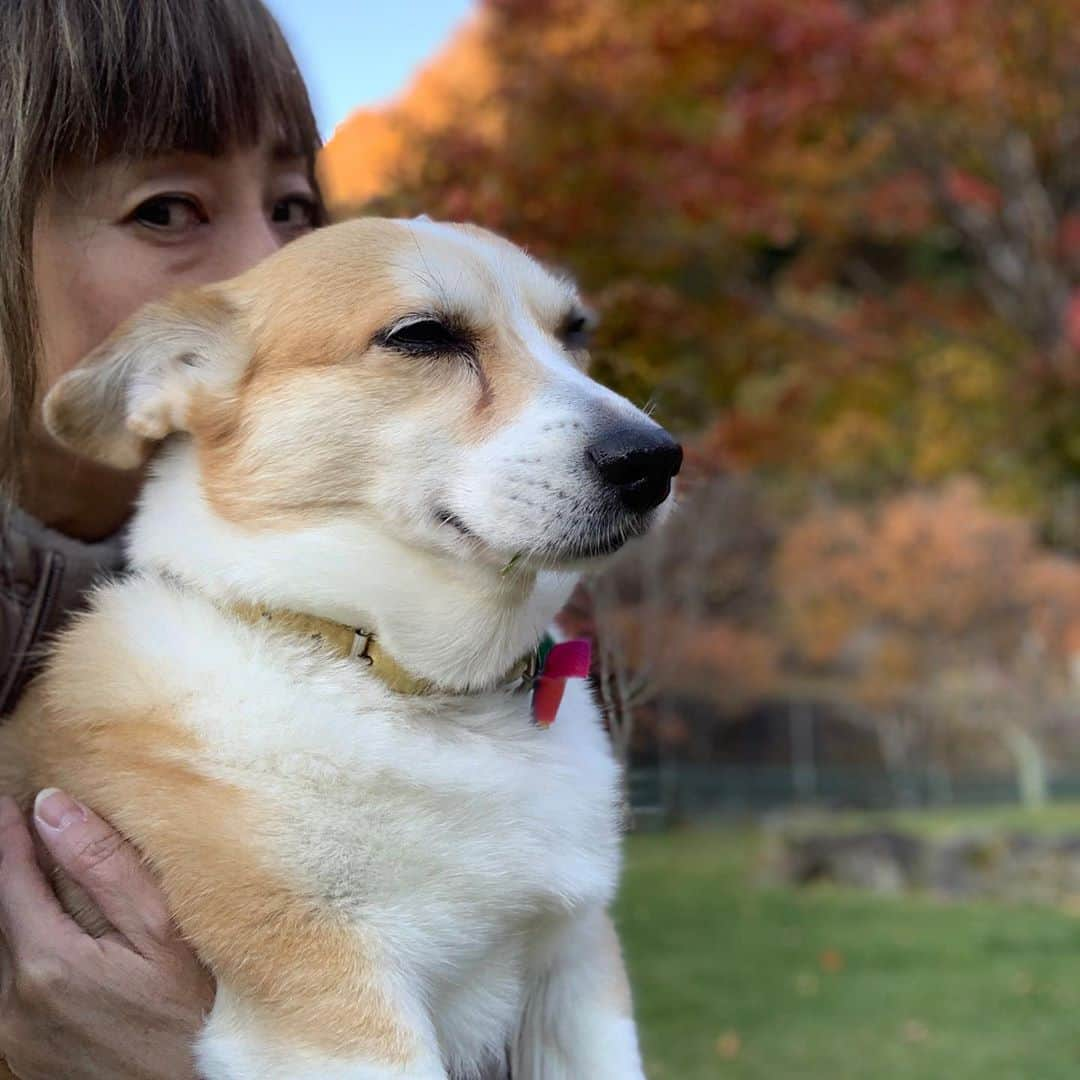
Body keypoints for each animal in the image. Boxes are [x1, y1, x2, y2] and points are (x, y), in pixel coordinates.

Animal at [0, 219, 678, 1080]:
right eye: (422, 335)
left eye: (576, 332)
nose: (655, 460)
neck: (414, 688)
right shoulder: (334, 1007)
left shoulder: (577, 974)